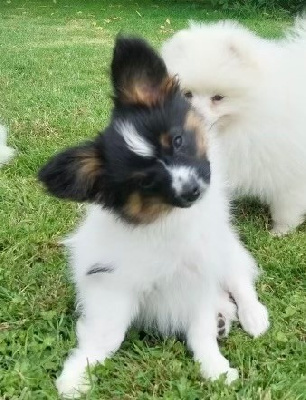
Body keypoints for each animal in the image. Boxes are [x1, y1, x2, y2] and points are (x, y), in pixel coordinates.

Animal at [37, 36, 268, 396]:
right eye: (145, 182)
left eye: (178, 140)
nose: (192, 190)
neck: (167, 223)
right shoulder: (113, 281)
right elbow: (106, 336)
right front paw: (77, 377)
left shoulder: (200, 275)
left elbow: (200, 330)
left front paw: (214, 368)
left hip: (226, 250)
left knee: (239, 279)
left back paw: (253, 315)